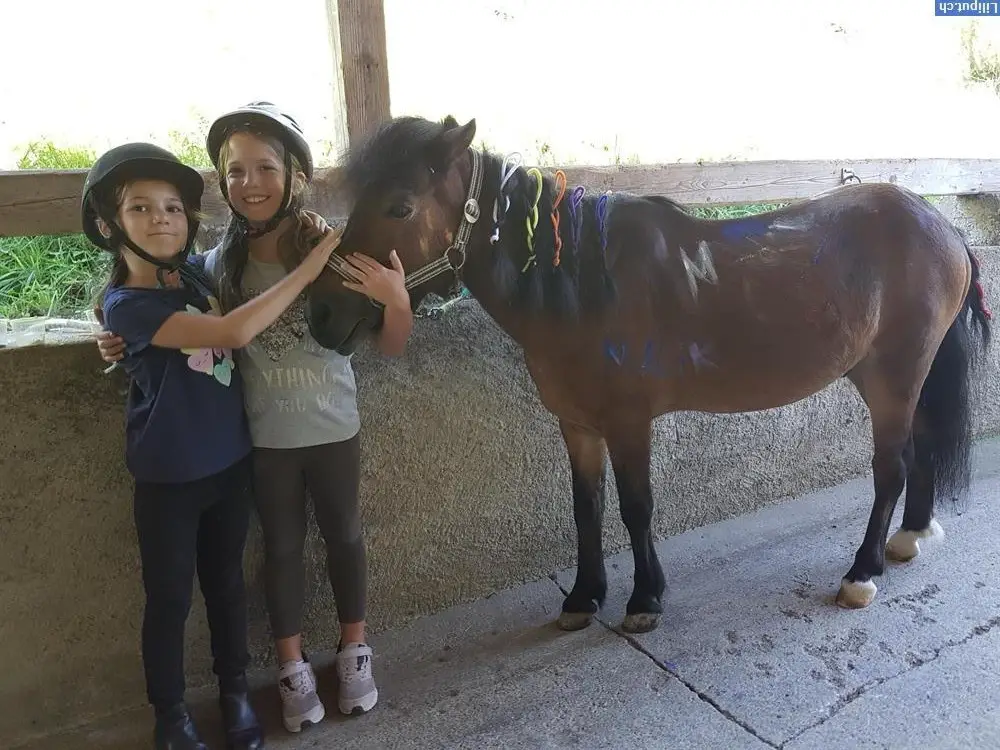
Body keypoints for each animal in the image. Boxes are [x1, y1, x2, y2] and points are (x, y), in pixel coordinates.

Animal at [302, 114, 992, 634]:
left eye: (400, 206)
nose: (322, 314)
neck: (585, 283)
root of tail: (942, 226)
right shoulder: (577, 424)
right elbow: (586, 507)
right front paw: (583, 596)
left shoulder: (628, 423)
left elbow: (636, 506)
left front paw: (644, 598)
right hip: (899, 379)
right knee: (920, 449)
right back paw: (909, 537)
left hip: (893, 379)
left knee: (891, 467)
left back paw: (863, 572)